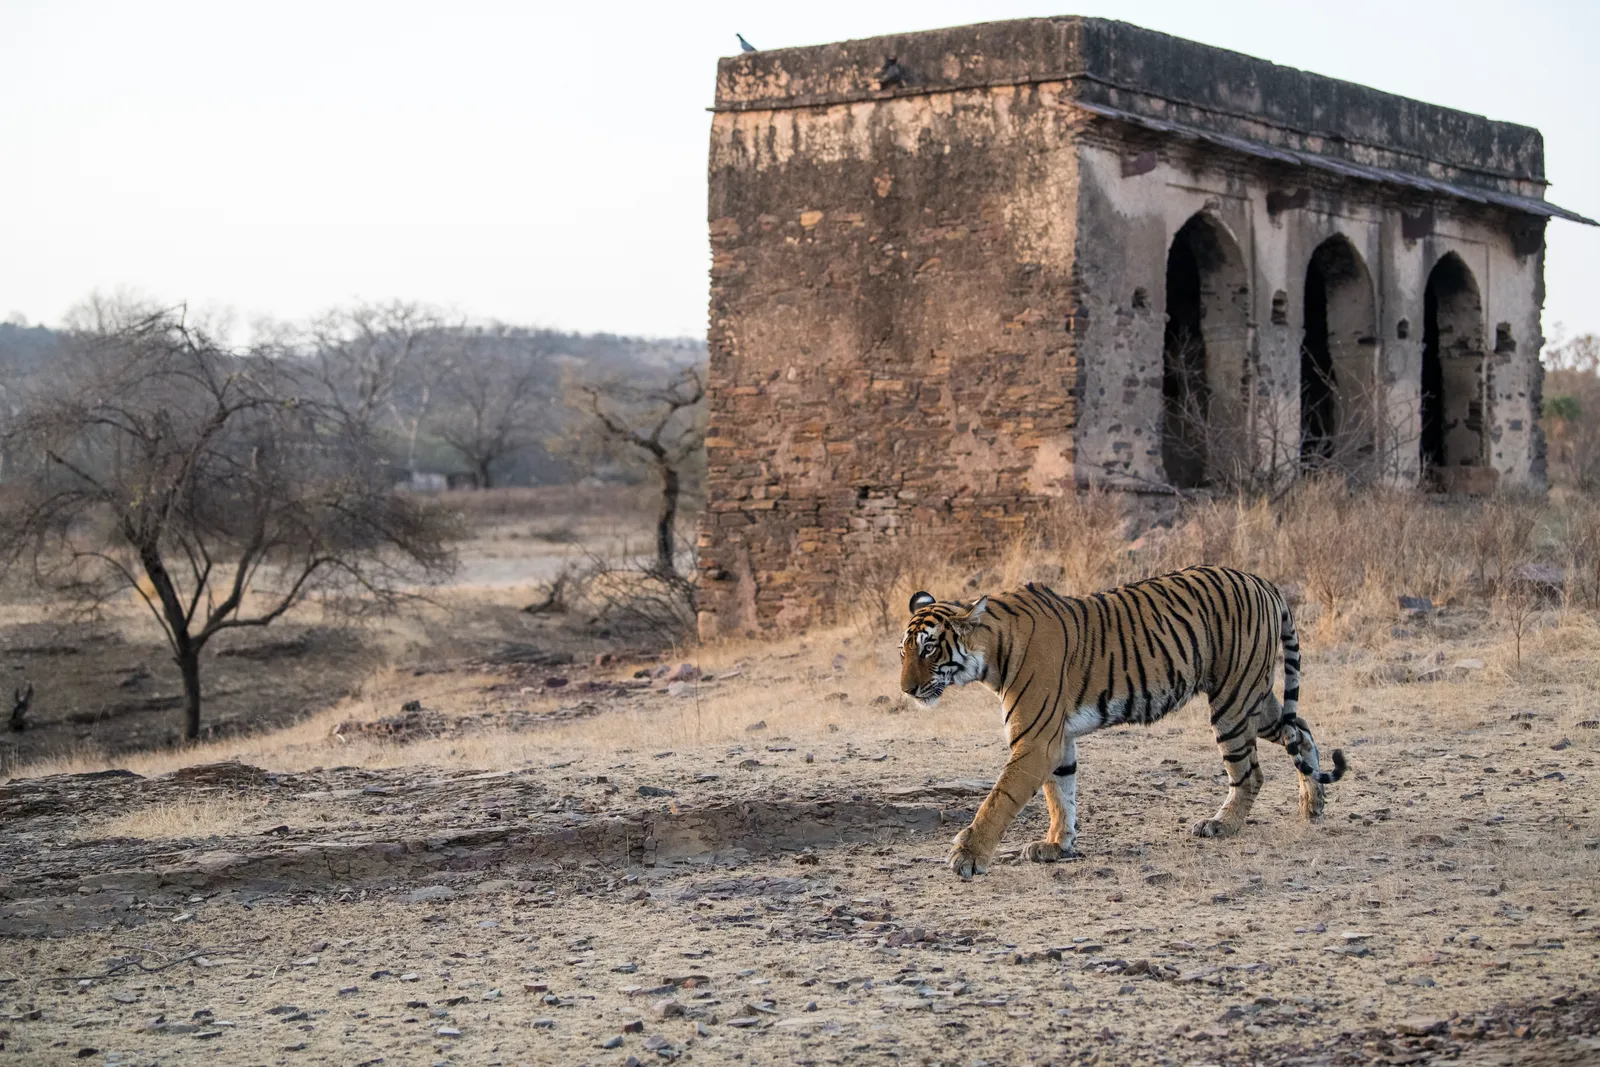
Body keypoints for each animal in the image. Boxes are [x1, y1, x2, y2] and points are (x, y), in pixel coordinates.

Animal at [899, 565, 1347, 880]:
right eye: (903, 652)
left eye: (929, 648)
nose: (905, 690)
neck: (992, 653)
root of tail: (1261, 580)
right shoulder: (1057, 740)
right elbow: (1061, 795)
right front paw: (1056, 846)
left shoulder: (1035, 741)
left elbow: (999, 799)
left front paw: (968, 855)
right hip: (1254, 696)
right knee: (1299, 729)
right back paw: (1312, 804)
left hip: (1233, 700)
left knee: (1250, 772)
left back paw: (1222, 825)